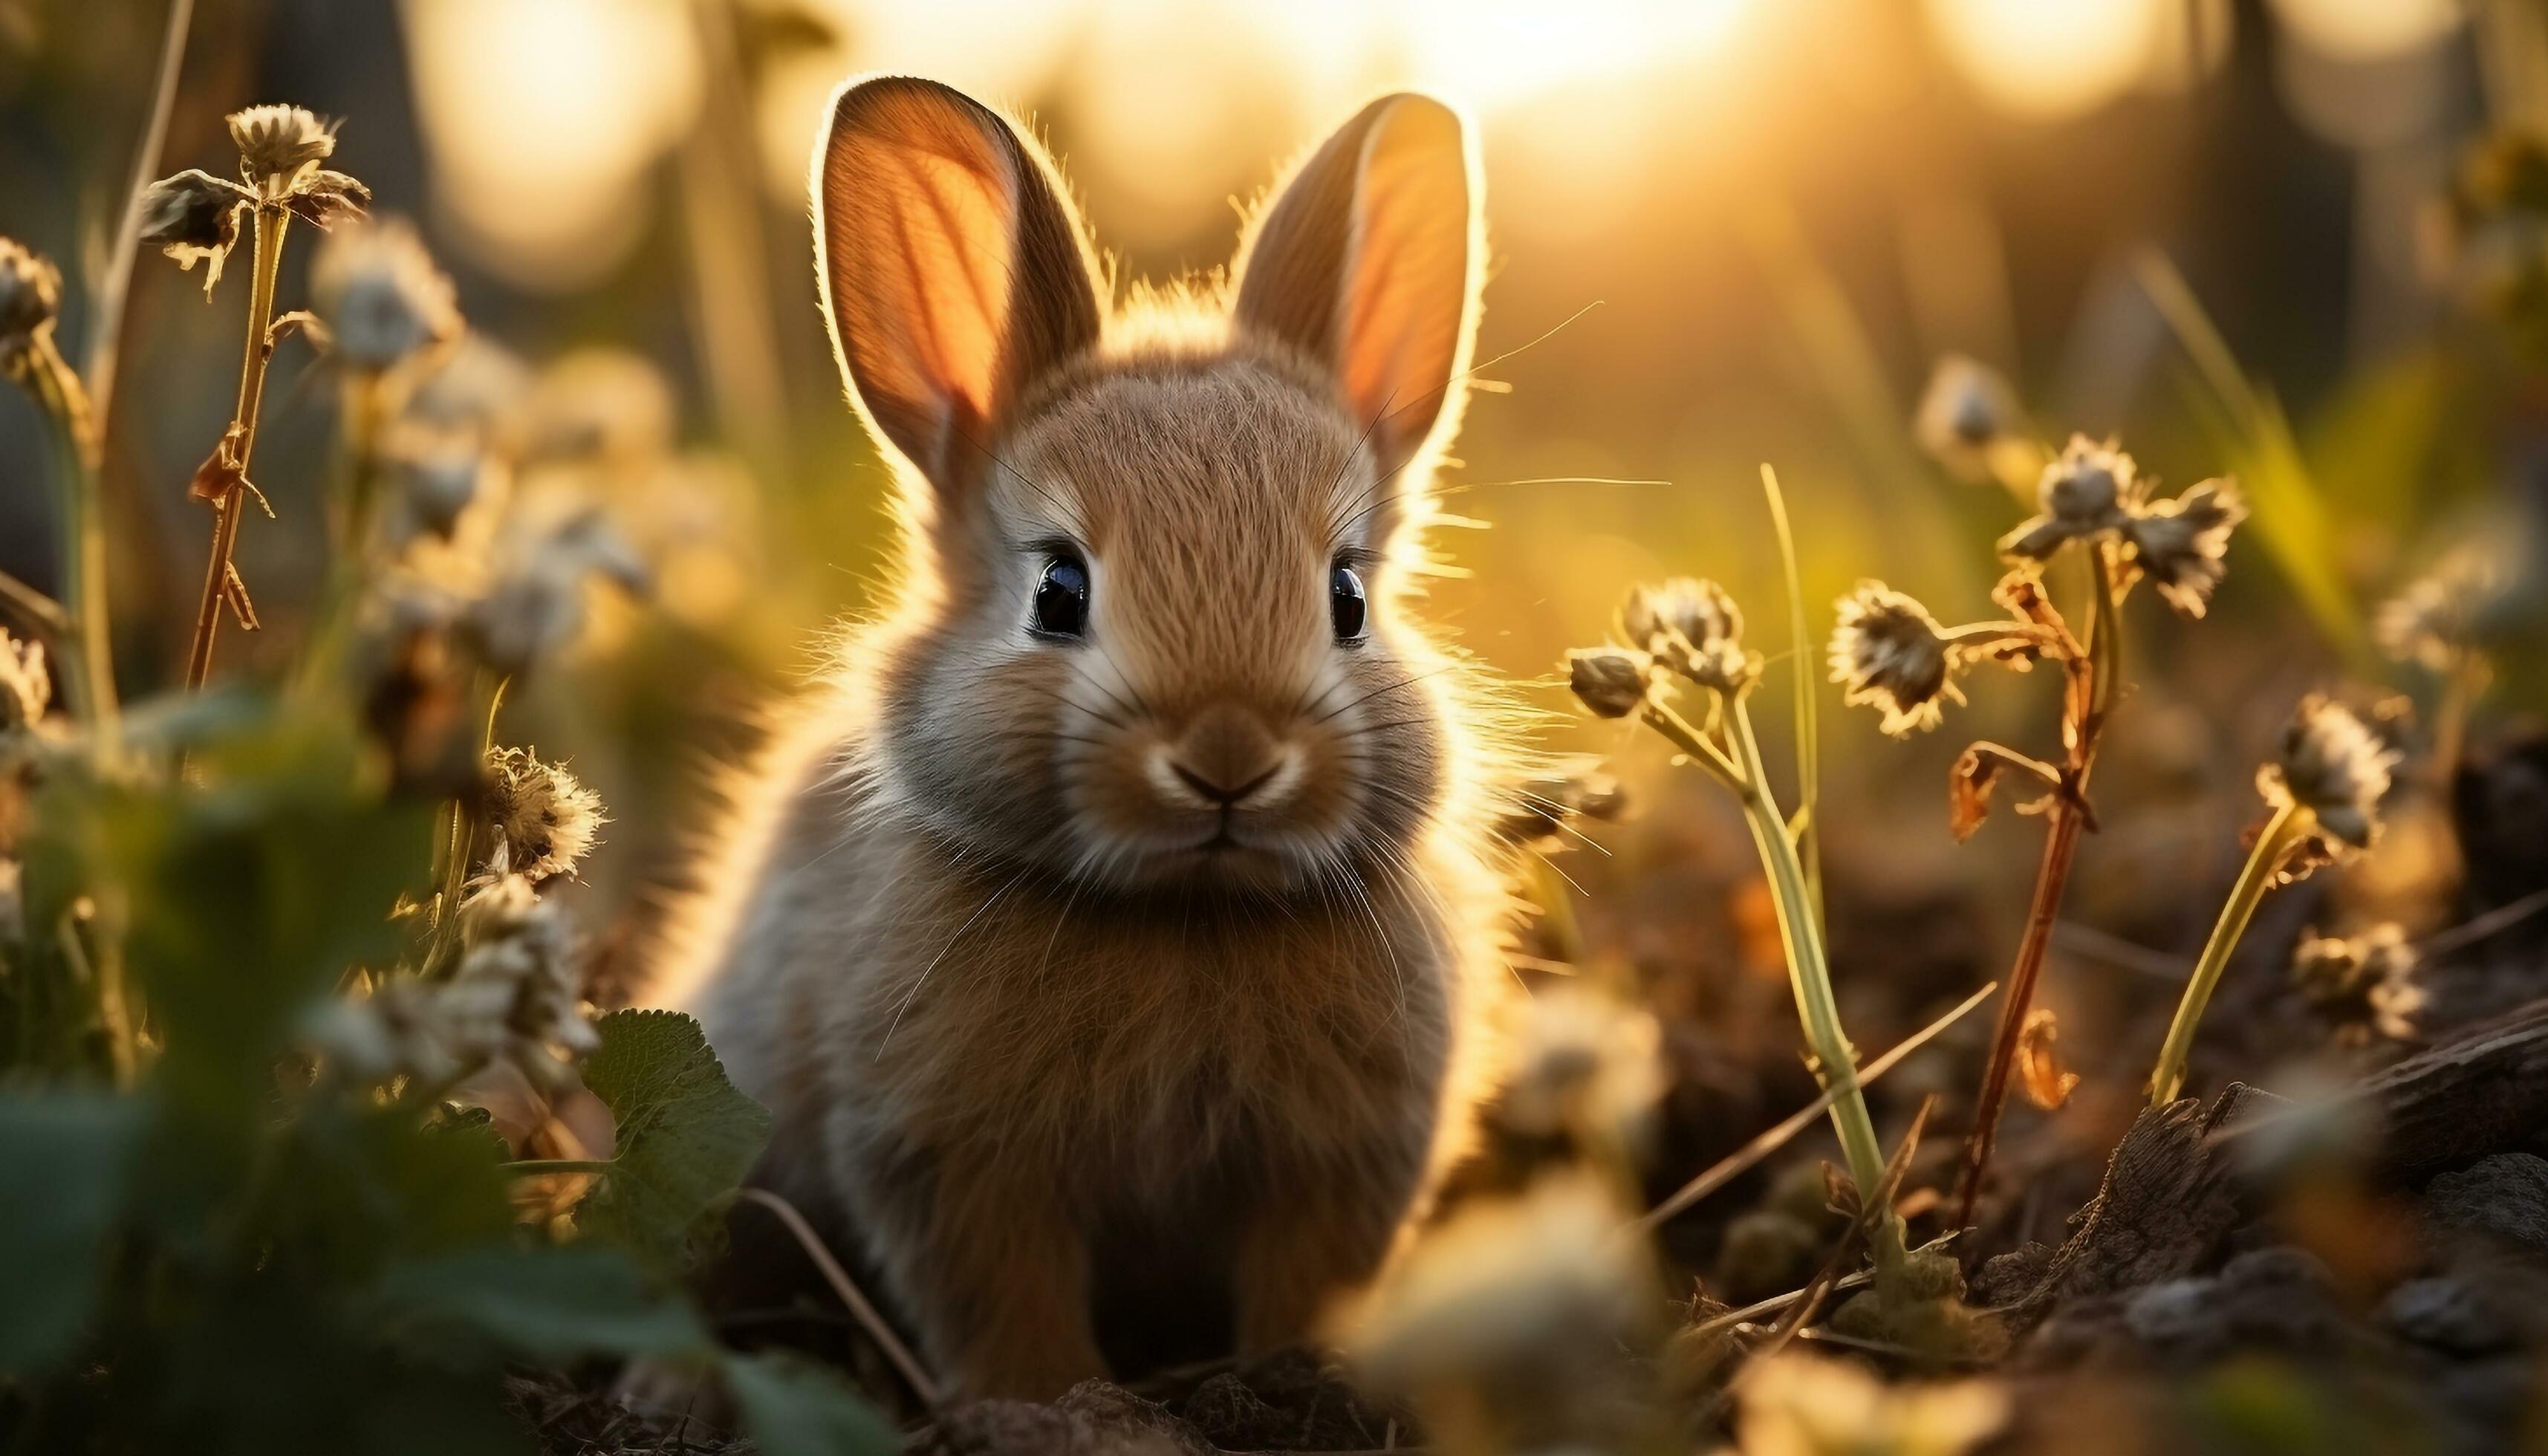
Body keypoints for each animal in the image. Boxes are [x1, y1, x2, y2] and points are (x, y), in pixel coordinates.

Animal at [649, 73, 1529, 1403]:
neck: (1184, 915)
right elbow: (1000, 1303)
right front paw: (1045, 1402)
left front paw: (1297, 1376)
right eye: (1058, 592)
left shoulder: (1338, 1160)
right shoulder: (950, 1161)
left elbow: (1303, 1278)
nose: (1228, 756)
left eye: (1347, 598)